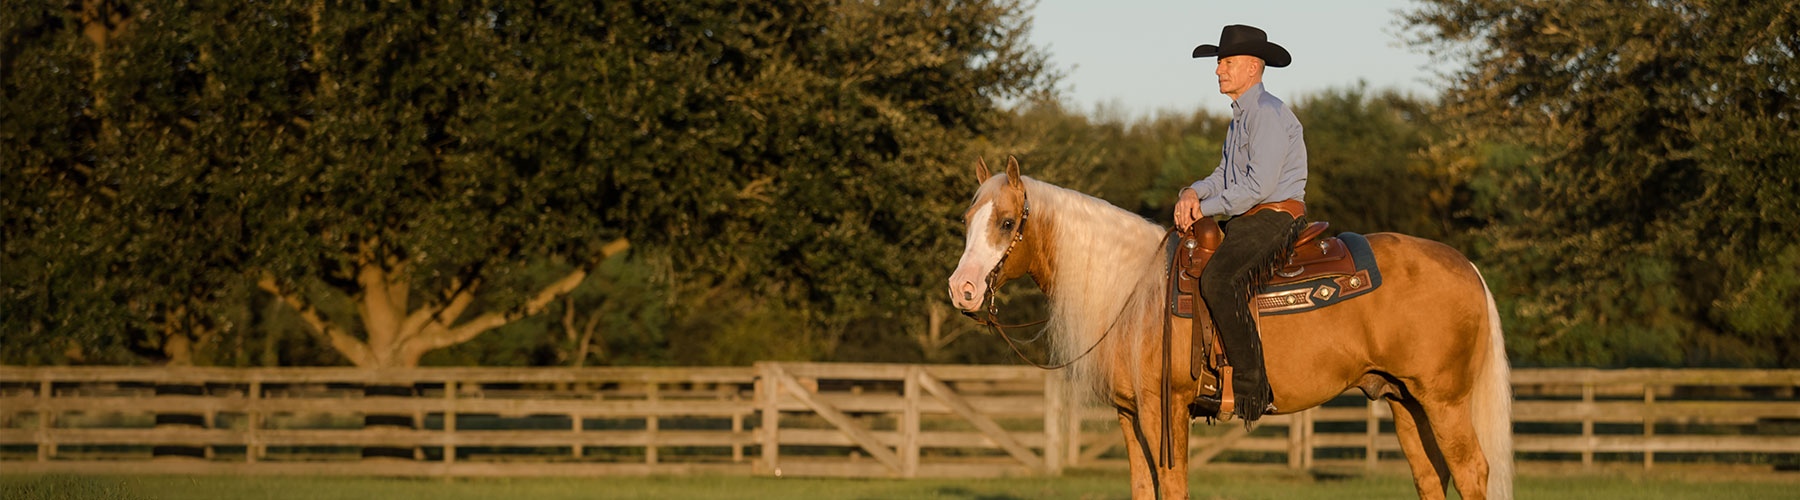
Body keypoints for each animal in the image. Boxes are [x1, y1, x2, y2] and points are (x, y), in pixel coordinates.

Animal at [950, 156, 1512, 500]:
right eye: (966, 221)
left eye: (1006, 222)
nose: (963, 290)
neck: (1133, 289)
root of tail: (1466, 266)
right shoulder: (1130, 416)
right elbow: (1144, 488)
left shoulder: (1164, 410)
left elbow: (1173, 487)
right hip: (1405, 401)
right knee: (1431, 478)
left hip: (1444, 402)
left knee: (1471, 473)